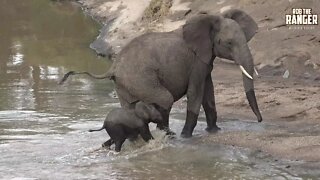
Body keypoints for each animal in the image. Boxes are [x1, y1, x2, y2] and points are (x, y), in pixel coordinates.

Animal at [60, 9, 262, 137]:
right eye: (228, 43)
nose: (260, 121)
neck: (211, 19)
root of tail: (113, 67)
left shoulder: (205, 60)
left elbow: (208, 93)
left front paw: (214, 131)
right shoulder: (196, 60)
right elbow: (196, 93)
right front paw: (187, 137)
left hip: (124, 84)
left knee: (130, 107)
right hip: (139, 79)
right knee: (165, 99)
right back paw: (168, 134)